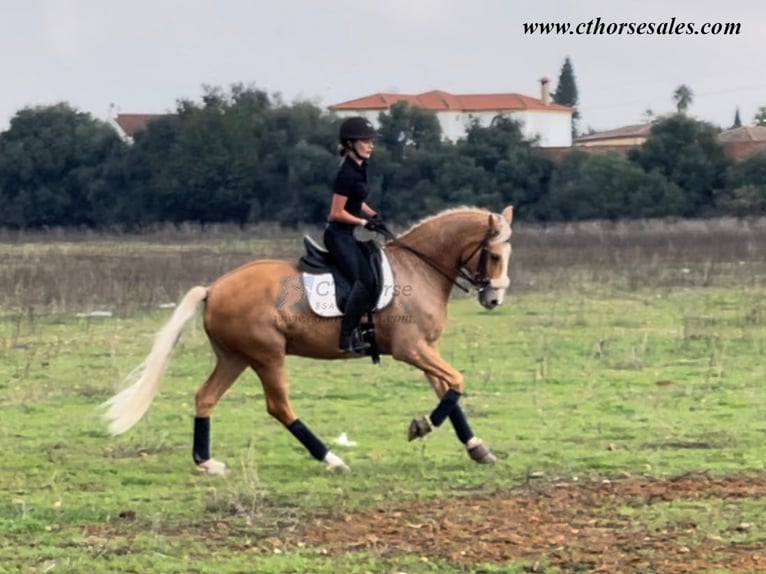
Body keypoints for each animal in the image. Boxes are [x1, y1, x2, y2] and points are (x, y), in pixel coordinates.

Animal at [102, 205, 514, 475]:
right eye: (494, 255)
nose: (495, 299)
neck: (421, 267)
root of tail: (214, 288)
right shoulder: (410, 349)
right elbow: (456, 381)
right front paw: (422, 426)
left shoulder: (427, 349)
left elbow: (449, 391)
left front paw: (478, 449)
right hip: (267, 356)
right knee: (280, 407)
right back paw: (331, 459)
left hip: (235, 358)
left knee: (205, 398)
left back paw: (207, 462)